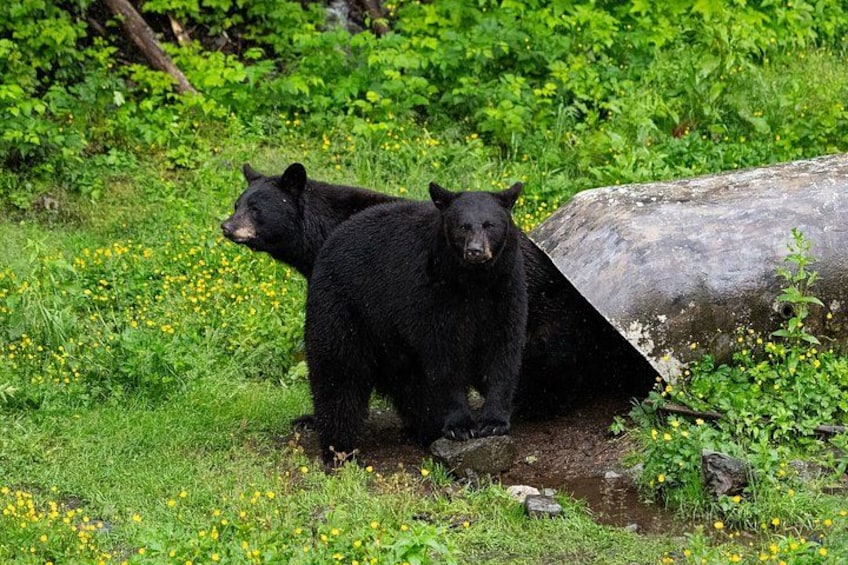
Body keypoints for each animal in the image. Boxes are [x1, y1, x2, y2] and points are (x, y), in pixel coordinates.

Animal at [305, 182, 528, 462]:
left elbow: (502, 351)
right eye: (462, 226)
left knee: (410, 385)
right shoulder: (433, 294)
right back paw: (339, 448)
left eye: (490, 225)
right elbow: (445, 357)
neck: (473, 281)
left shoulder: (505, 290)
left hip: (392, 340)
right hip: (344, 307)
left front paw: (494, 422)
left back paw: (424, 428)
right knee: (338, 373)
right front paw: (460, 426)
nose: (475, 251)